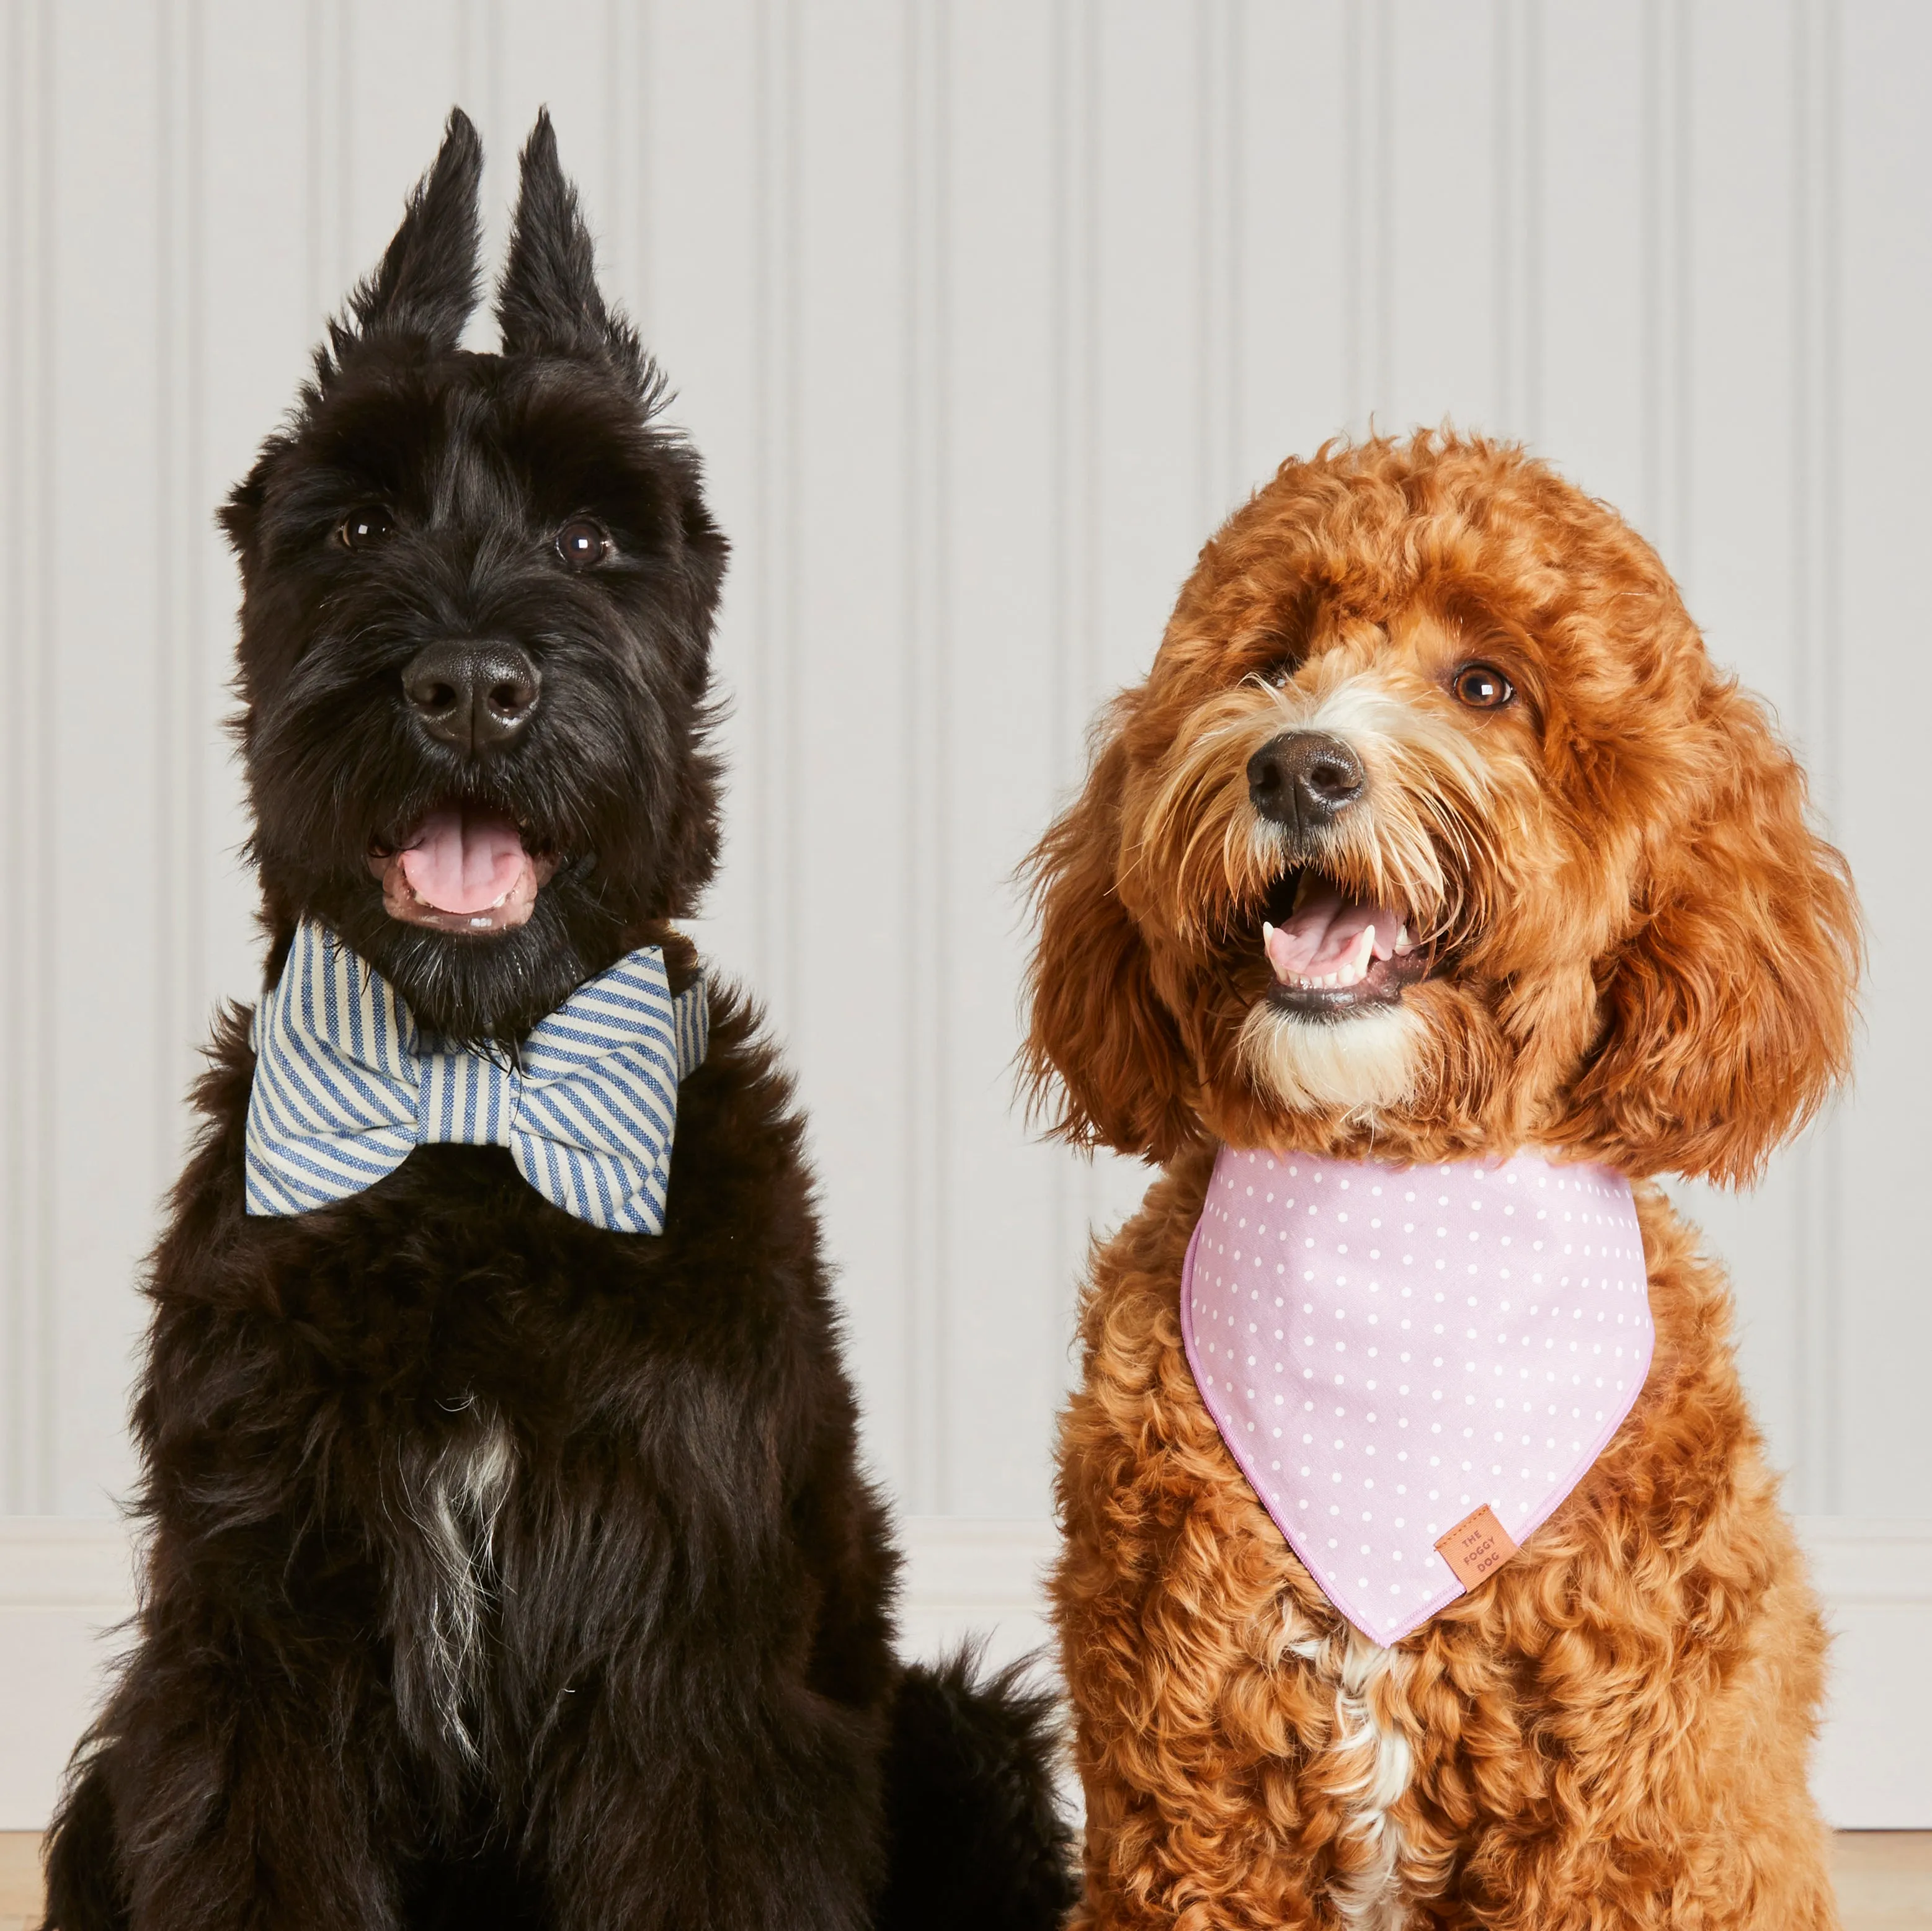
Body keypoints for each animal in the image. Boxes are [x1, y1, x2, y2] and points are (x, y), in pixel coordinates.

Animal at [41, 117, 1074, 1931]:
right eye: (354, 524)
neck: (470, 1120)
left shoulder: (691, 1664)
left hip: (967, 1731)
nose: (471, 687)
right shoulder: (249, 1635)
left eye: (597, 540)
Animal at [1028, 434, 1854, 1931]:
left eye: (1486, 685)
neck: (1396, 1216)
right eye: (1270, 664)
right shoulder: (1192, 1805)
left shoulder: (1618, 1825)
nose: (1299, 766)